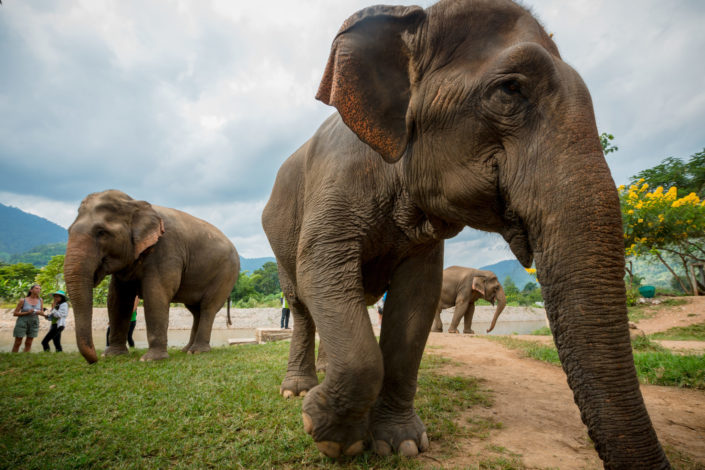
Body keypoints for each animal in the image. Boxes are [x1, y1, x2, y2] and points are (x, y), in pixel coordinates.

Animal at [63, 190, 239, 364]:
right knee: (196, 311)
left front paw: (151, 359)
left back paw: (197, 351)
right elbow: (117, 300)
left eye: (101, 232)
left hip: (226, 274)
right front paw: (112, 355)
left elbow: (156, 294)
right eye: (69, 231)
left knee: (208, 307)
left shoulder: (166, 249)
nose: (94, 360)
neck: (134, 203)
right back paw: (187, 350)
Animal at [262, 0, 668, 464]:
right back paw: (297, 391)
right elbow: (323, 268)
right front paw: (332, 436)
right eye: (510, 89)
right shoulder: (336, 183)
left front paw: (402, 444)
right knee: (302, 301)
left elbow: (415, 301)